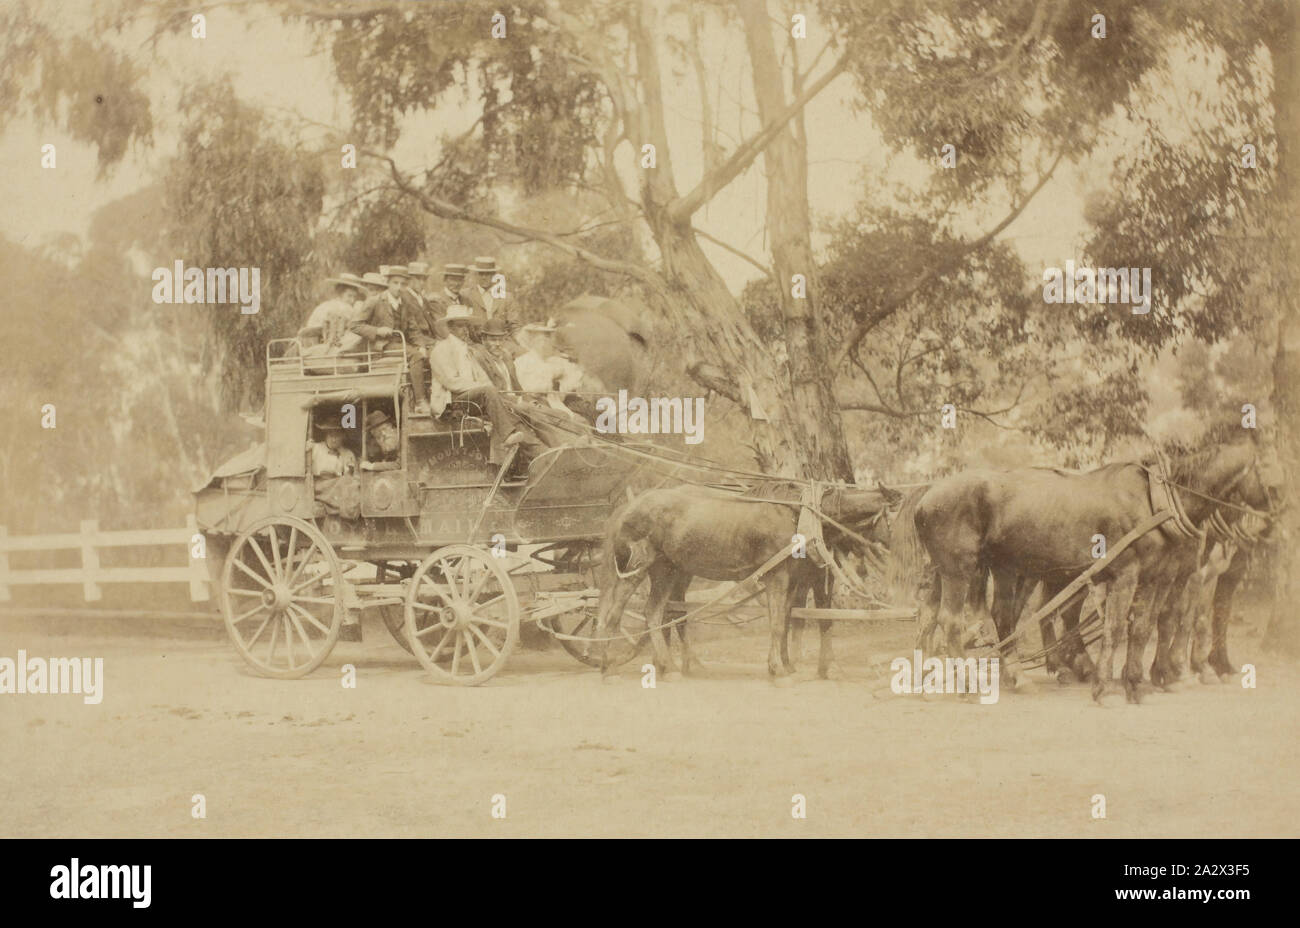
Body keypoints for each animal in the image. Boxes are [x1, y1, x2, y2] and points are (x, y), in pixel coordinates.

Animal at [595, 480, 894, 681]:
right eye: (895, 513)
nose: (892, 549)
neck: (799, 517)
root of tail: (628, 507)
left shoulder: (793, 579)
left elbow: (785, 620)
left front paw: (786, 665)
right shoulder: (779, 576)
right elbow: (778, 624)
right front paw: (778, 669)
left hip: (667, 570)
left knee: (656, 613)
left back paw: (666, 667)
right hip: (638, 569)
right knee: (616, 614)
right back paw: (610, 664)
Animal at [915, 434, 1279, 701]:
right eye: (1268, 473)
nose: (1274, 516)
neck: (1157, 503)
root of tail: (925, 498)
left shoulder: (1157, 576)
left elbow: (1144, 626)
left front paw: (1138, 682)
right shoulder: (1130, 574)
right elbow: (1118, 627)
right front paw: (1108, 685)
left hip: (979, 569)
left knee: (972, 616)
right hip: (961, 569)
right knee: (953, 621)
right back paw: (969, 682)